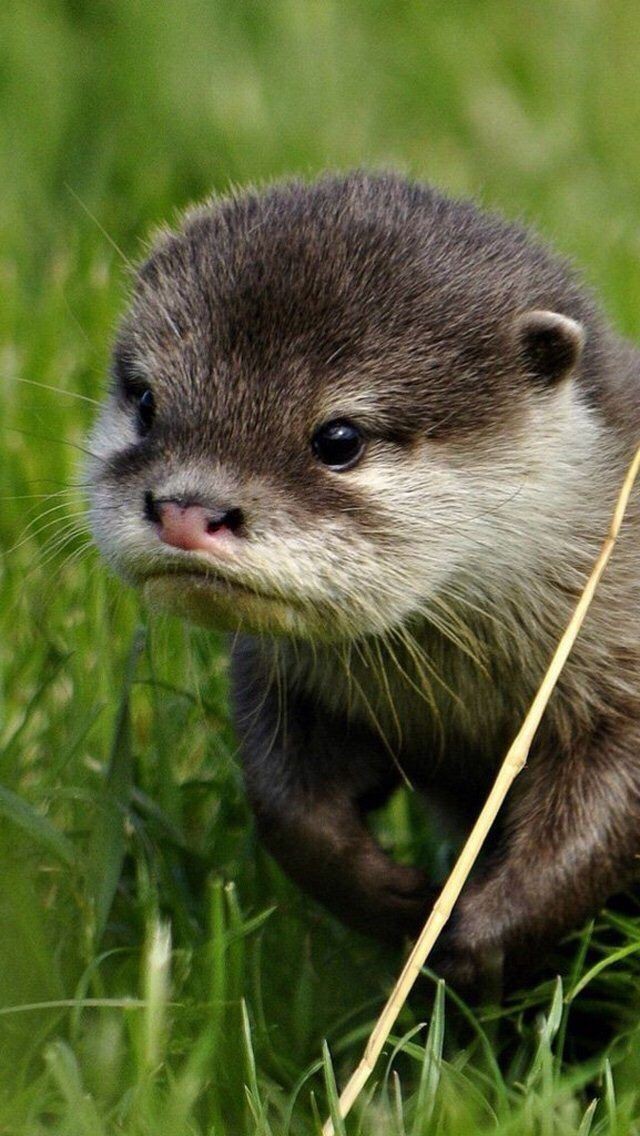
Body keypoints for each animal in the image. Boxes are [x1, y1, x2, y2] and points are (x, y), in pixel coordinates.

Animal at [87, 172, 640, 990]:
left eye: (339, 438)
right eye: (147, 401)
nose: (188, 511)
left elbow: (598, 825)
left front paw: (479, 935)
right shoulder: (286, 678)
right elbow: (286, 806)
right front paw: (391, 900)